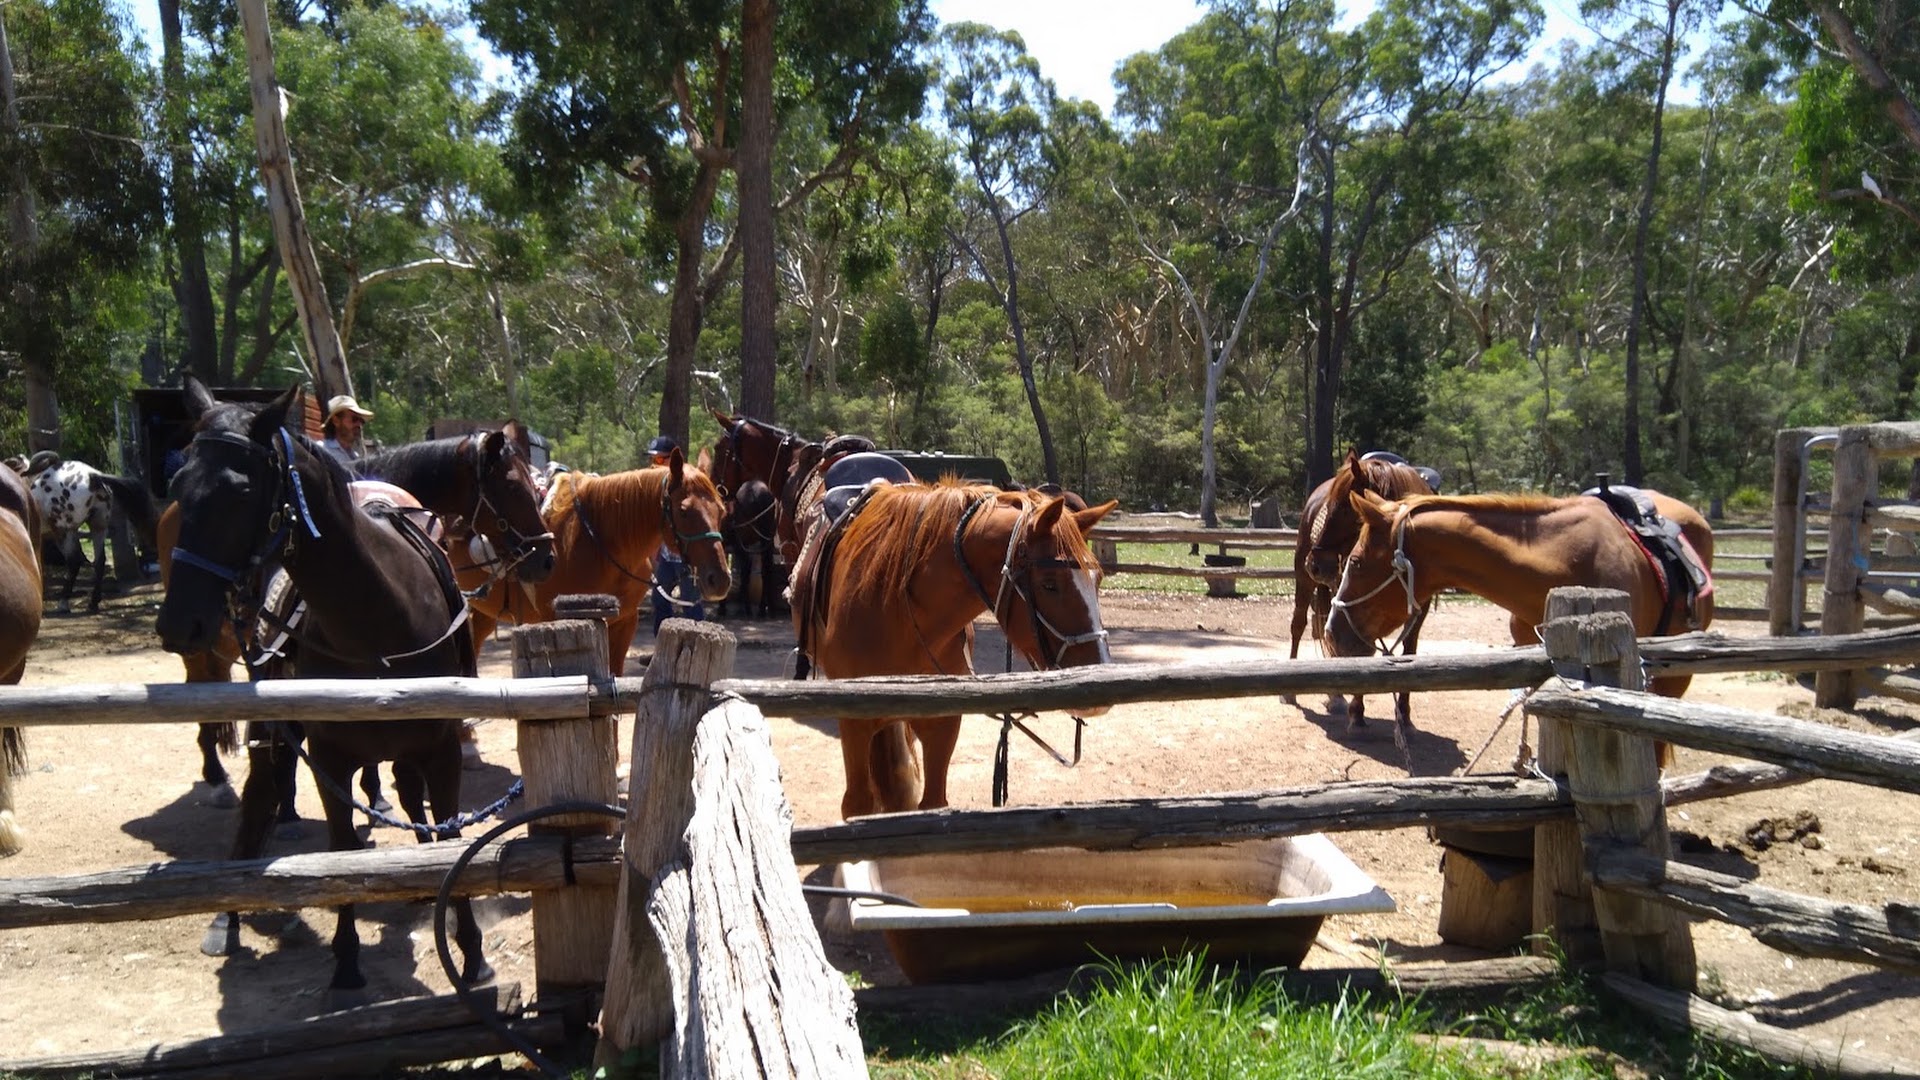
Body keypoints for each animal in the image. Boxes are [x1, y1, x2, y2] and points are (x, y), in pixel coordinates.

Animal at [26, 455, 159, 613]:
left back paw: (64, 602)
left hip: (64, 530)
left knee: (74, 561)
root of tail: (92, 476)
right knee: (99, 561)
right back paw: (93, 602)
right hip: (97, 527)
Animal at [155, 378, 492, 1006]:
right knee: (260, 795)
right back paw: (226, 917)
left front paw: (473, 953)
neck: (380, 619)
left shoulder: (439, 749)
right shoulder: (330, 758)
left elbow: (448, 834)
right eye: (177, 485)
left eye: (240, 490)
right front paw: (347, 961)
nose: (178, 623)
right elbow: (337, 851)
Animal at [788, 480, 1118, 818]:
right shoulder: (854, 723)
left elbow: (932, 802)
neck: (895, 606)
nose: (1098, 675)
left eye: (1098, 579)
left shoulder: (942, 723)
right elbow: (856, 806)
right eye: (1050, 583)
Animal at [1287, 450, 1439, 736]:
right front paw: (1357, 715)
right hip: (1305, 581)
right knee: (1299, 625)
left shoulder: (1418, 612)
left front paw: (1404, 716)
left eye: (1347, 507)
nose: (1315, 564)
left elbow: (1409, 653)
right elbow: (1360, 652)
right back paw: (1293, 692)